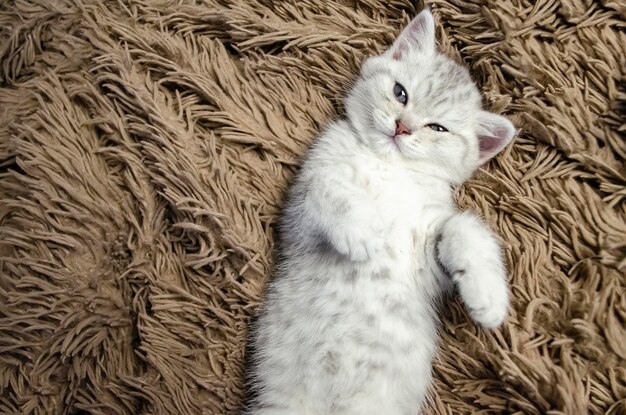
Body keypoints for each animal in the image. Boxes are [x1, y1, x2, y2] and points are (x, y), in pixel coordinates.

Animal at [243, 8, 512, 415]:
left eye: (438, 128)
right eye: (400, 93)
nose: (403, 127)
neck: (386, 165)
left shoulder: (425, 250)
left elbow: (464, 228)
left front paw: (488, 298)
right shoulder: (298, 211)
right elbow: (327, 187)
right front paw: (360, 231)